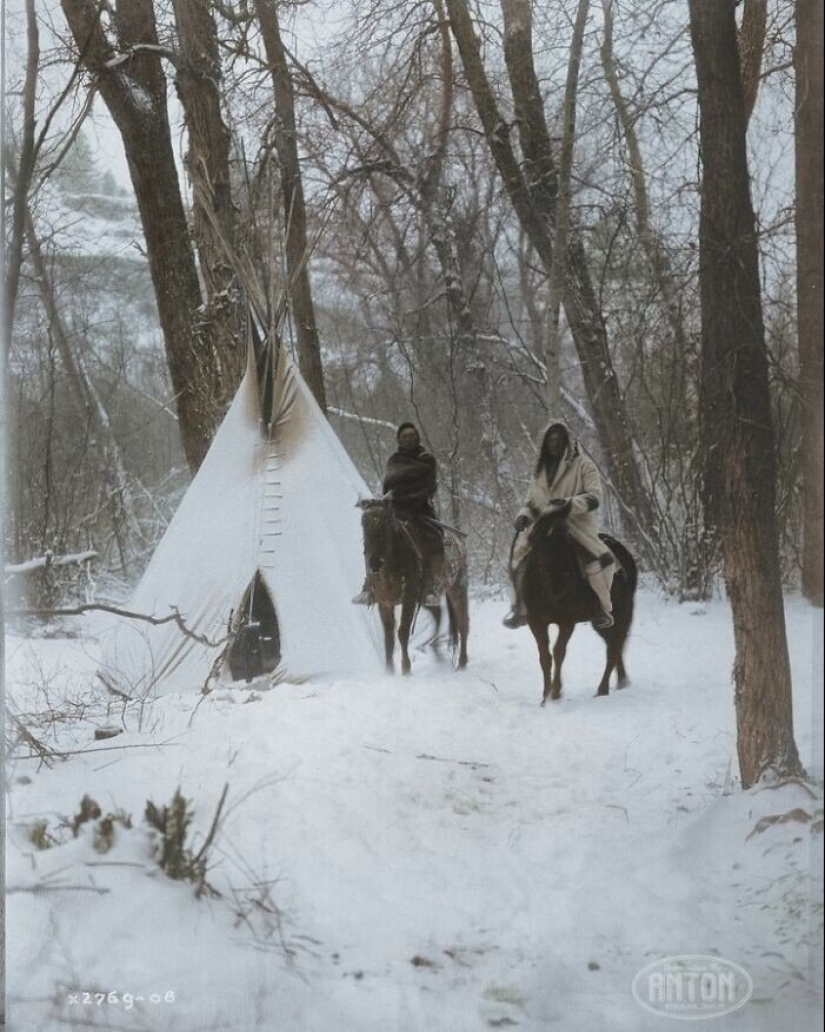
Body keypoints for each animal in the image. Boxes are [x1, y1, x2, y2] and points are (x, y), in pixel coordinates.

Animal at [357, 501, 468, 676]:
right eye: (363, 525)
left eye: (385, 524)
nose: (374, 565)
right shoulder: (385, 603)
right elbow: (388, 637)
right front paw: (389, 670)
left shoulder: (409, 598)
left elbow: (402, 632)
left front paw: (406, 668)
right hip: (424, 598)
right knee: (438, 613)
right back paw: (435, 650)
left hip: (457, 588)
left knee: (463, 623)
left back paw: (462, 663)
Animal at [520, 509, 640, 705]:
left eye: (565, 541)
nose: (563, 587)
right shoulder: (536, 622)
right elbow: (545, 656)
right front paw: (545, 698)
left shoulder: (567, 622)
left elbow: (559, 652)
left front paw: (555, 693)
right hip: (601, 623)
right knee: (613, 644)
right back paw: (621, 681)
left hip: (622, 611)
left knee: (613, 647)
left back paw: (602, 689)